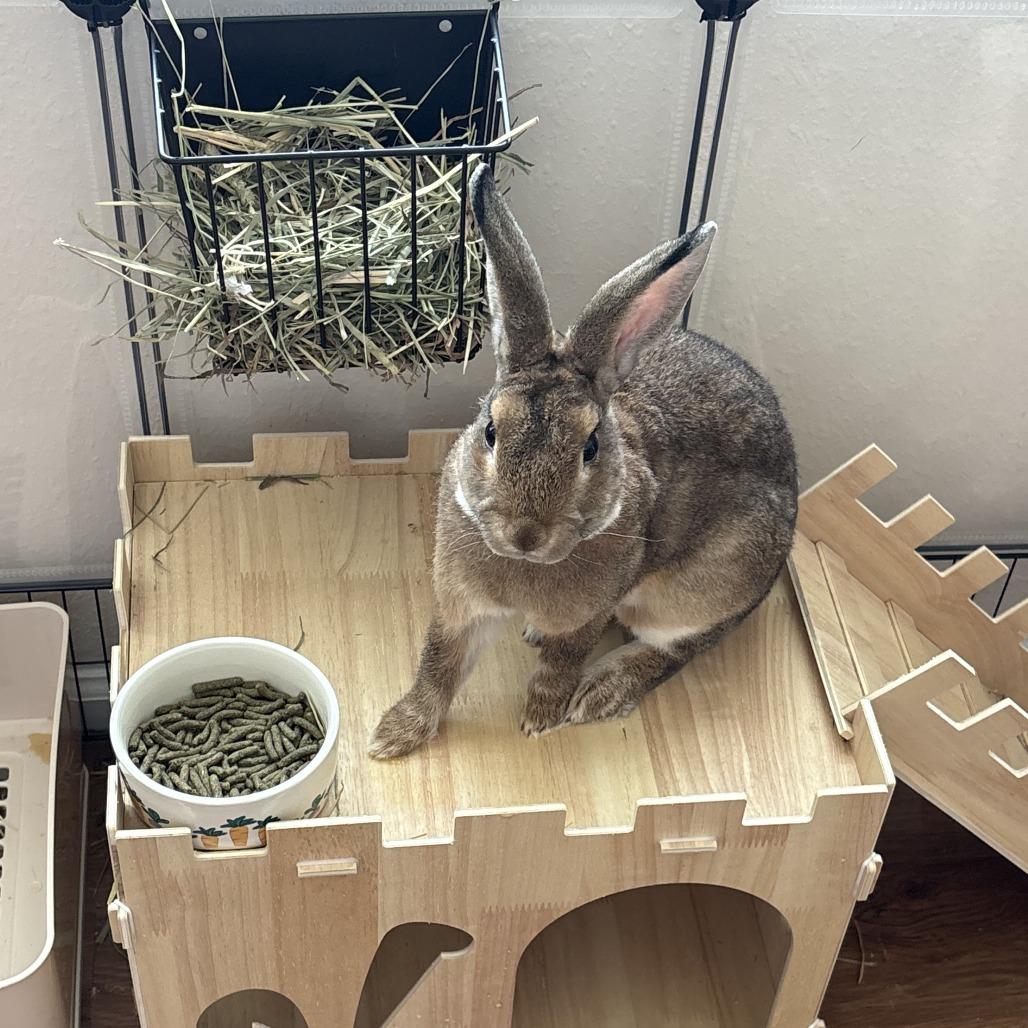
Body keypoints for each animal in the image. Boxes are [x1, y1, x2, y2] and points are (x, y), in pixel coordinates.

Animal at [369, 165, 797, 759]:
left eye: (590, 447)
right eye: (491, 431)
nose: (526, 533)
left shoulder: (587, 616)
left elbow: (560, 665)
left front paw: (541, 718)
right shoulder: (460, 607)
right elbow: (439, 664)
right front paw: (394, 735)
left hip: (697, 592)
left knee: (677, 649)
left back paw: (601, 692)